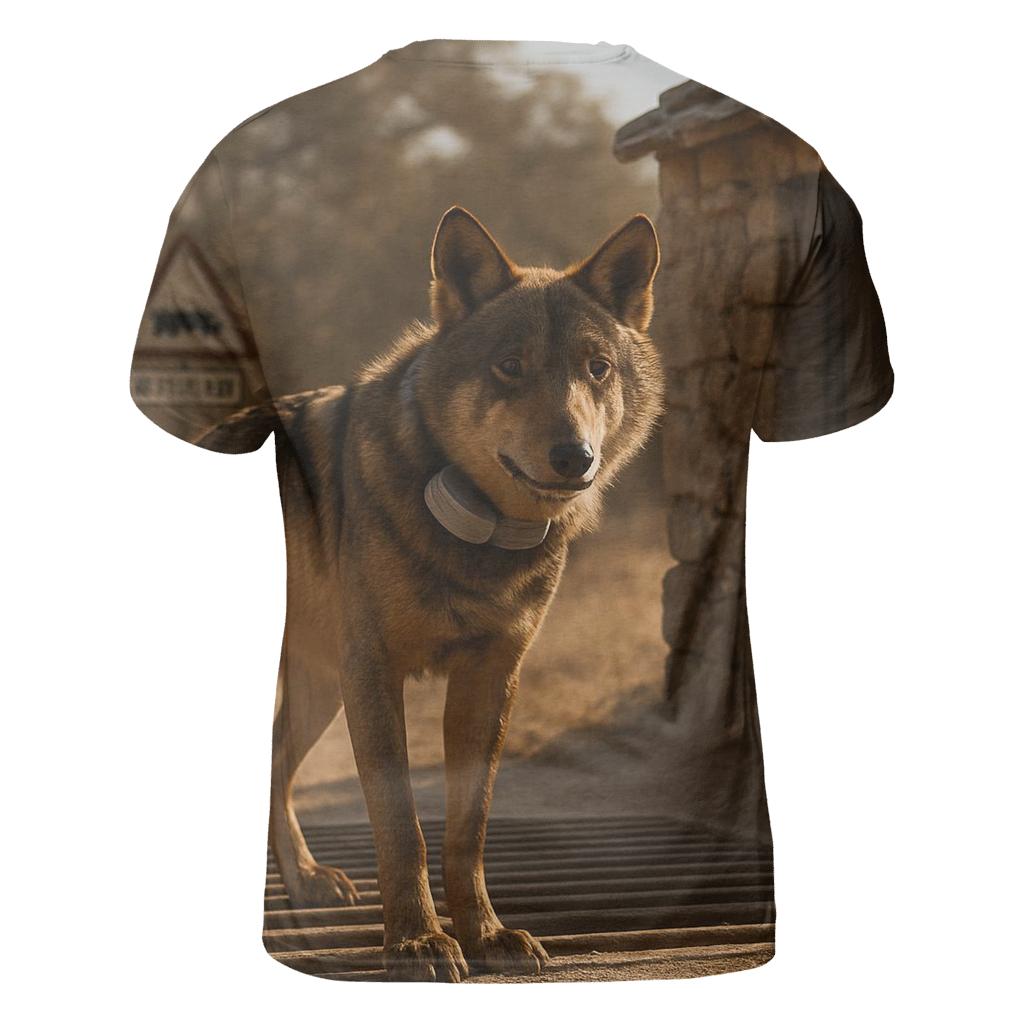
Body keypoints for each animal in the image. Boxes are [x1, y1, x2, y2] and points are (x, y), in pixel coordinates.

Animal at [199, 207, 664, 981]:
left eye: (596, 368)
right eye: (510, 365)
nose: (575, 457)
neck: (478, 534)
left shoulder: (491, 679)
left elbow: (465, 829)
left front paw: (485, 933)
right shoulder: (374, 674)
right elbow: (402, 828)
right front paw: (415, 942)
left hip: (319, 692)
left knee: (274, 769)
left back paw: (306, 883)